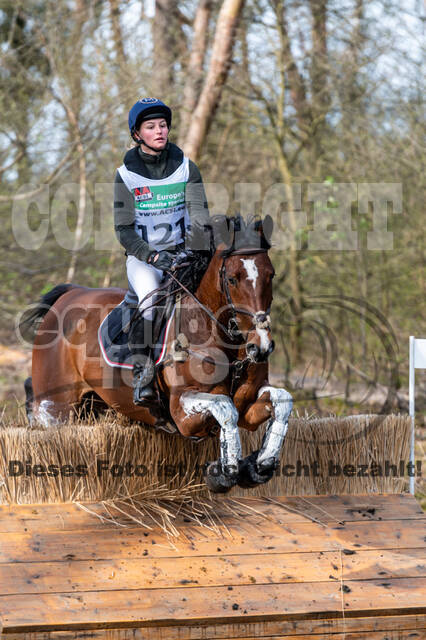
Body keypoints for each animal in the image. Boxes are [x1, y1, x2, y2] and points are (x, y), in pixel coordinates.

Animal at [20, 218, 292, 492]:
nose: (261, 346)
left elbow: (282, 401)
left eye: (270, 274)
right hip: (57, 409)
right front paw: (225, 473)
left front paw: (260, 466)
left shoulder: (247, 406)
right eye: (233, 279)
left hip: (91, 405)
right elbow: (226, 409)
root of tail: (68, 296)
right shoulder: (182, 411)